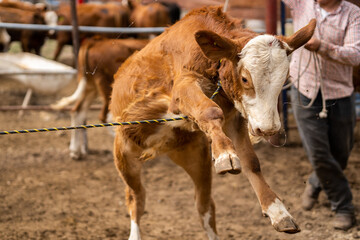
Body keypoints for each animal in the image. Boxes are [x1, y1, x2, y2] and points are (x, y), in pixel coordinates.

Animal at [109, 5, 316, 240]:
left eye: (284, 80)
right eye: (245, 79)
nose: (268, 129)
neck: (213, 66)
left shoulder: (234, 118)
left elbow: (251, 162)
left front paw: (278, 212)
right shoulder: (183, 87)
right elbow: (209, 111)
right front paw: (226, 154)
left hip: (195, 158)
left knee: (204, 206)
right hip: (125, 156)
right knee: (136, 199)